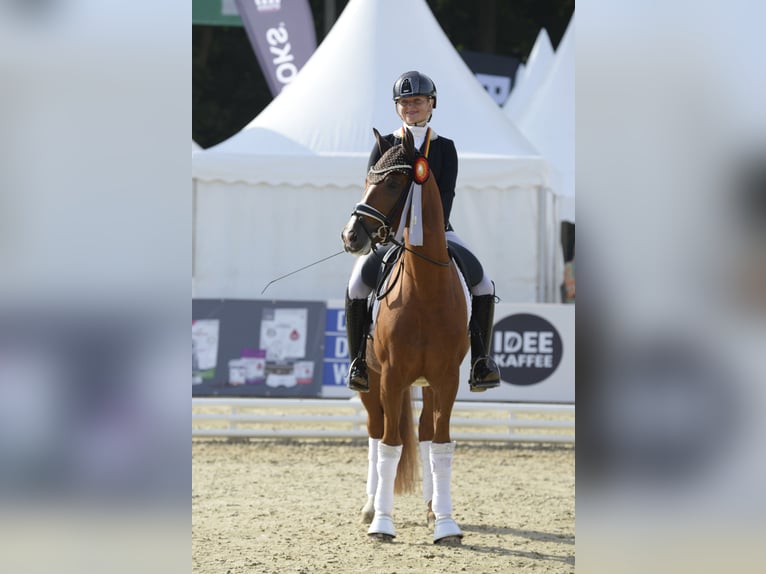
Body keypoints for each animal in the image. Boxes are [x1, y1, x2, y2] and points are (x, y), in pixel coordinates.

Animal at [344, 128, 474, 548]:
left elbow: (442, 447)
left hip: (428, 384)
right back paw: (371, 506)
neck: (424, 289)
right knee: (375, 433)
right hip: (371, 381)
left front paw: (446, 523)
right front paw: (382, 524)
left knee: (427, 434)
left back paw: (432, 507)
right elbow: (389, 448)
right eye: (368, 178)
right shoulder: (392, 377)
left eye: (393, 183)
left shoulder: (446, 380)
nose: (350, 235)